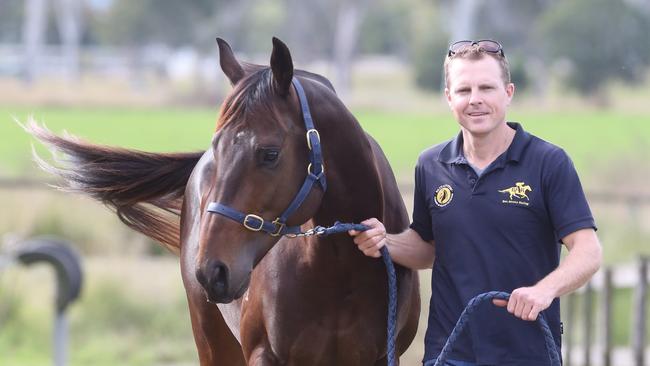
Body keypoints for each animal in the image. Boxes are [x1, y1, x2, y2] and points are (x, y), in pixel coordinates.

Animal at [27, 38, 418, 364]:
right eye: (217, 148)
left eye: (269, 153)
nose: (212, 271)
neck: (337, 270)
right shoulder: (262, 354)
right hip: (212, 340)